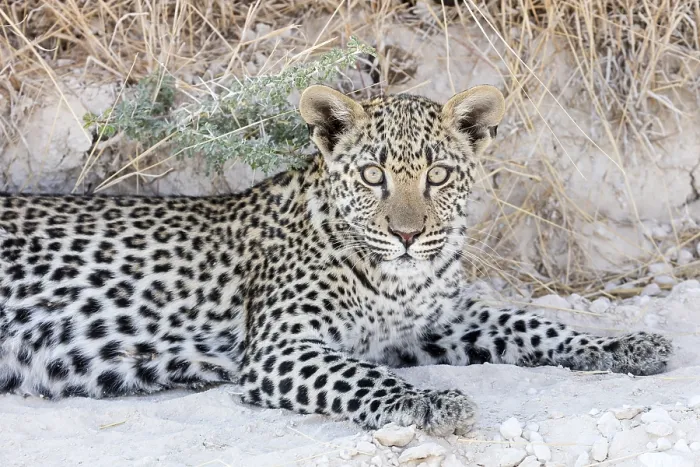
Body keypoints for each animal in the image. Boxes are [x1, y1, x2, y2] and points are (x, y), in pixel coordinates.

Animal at [0, 84, 672, 435]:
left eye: (438, 175)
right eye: (374, 175)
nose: (407, 234)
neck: (397, 280)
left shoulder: (435, 323)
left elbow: (532, 324)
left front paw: (626, 345)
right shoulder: (282, 348)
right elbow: (362, 377)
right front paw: (433, 403)